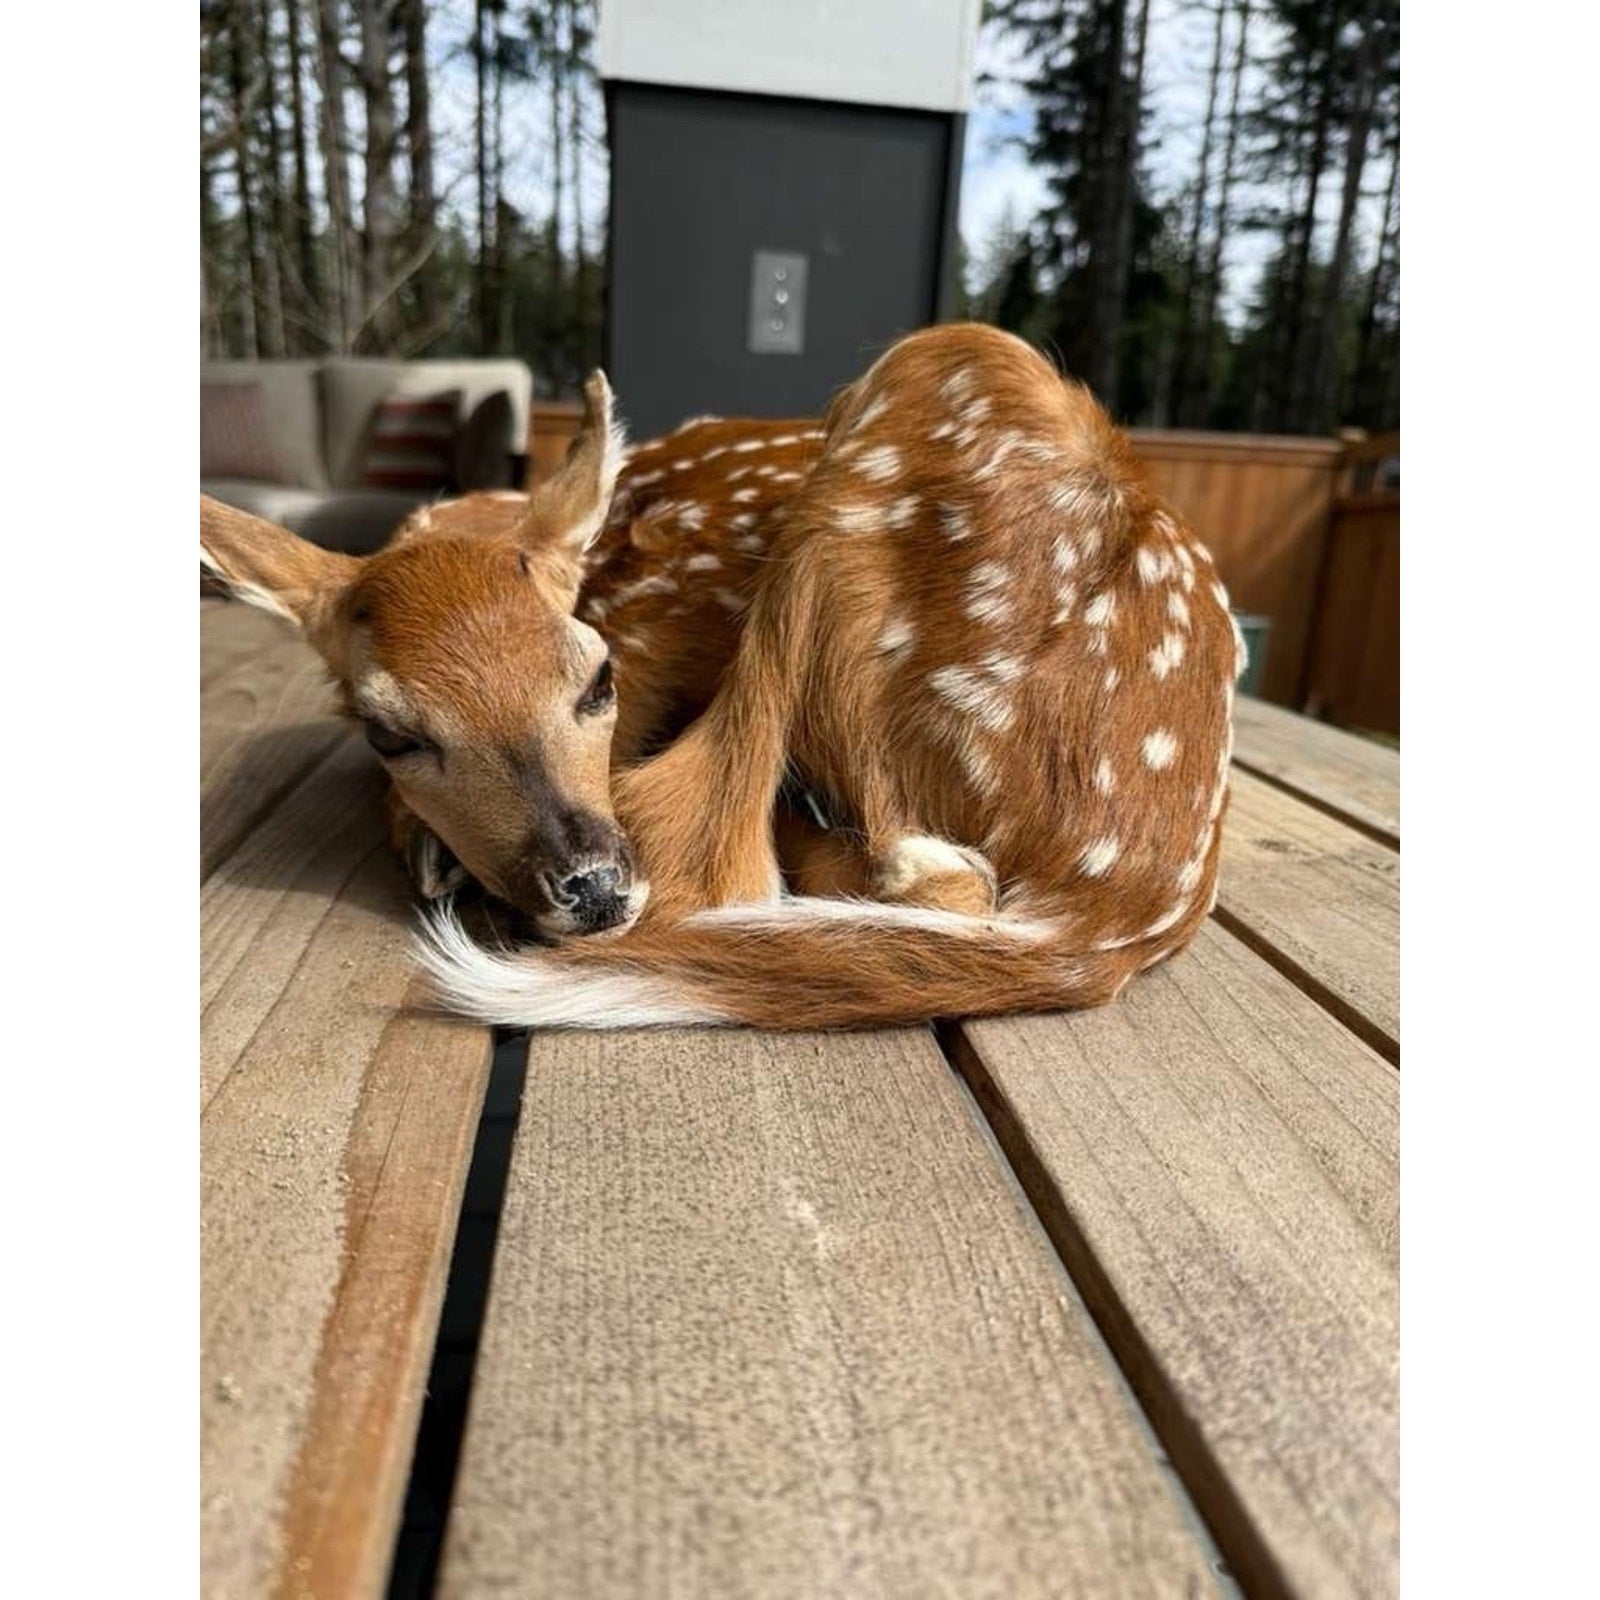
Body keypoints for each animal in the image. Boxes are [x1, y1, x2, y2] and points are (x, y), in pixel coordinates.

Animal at [200, 322, 1245, 1031]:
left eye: (597, 679)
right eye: (393, 733)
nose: (590, 886)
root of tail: (1129, 900)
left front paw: (426, 843)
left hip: (945, 371)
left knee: (818, 867)